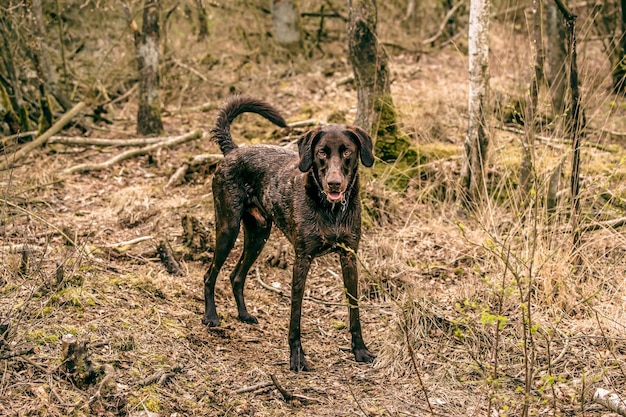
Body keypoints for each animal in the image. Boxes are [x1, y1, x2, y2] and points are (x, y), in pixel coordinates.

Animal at [202, 96, 372, 370]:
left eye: (347, 151)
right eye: (321, 152)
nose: (334, 184)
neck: (331, 209)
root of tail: (233, 150)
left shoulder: (349, 256)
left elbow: (354, 308)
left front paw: (360, 350)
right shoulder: (302, 259)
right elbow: (296, 313)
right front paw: (296, 357)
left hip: (258, 235)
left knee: (236, 276)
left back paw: (244, 314)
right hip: (228, 228)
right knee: (210, 275)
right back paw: (211, 316)